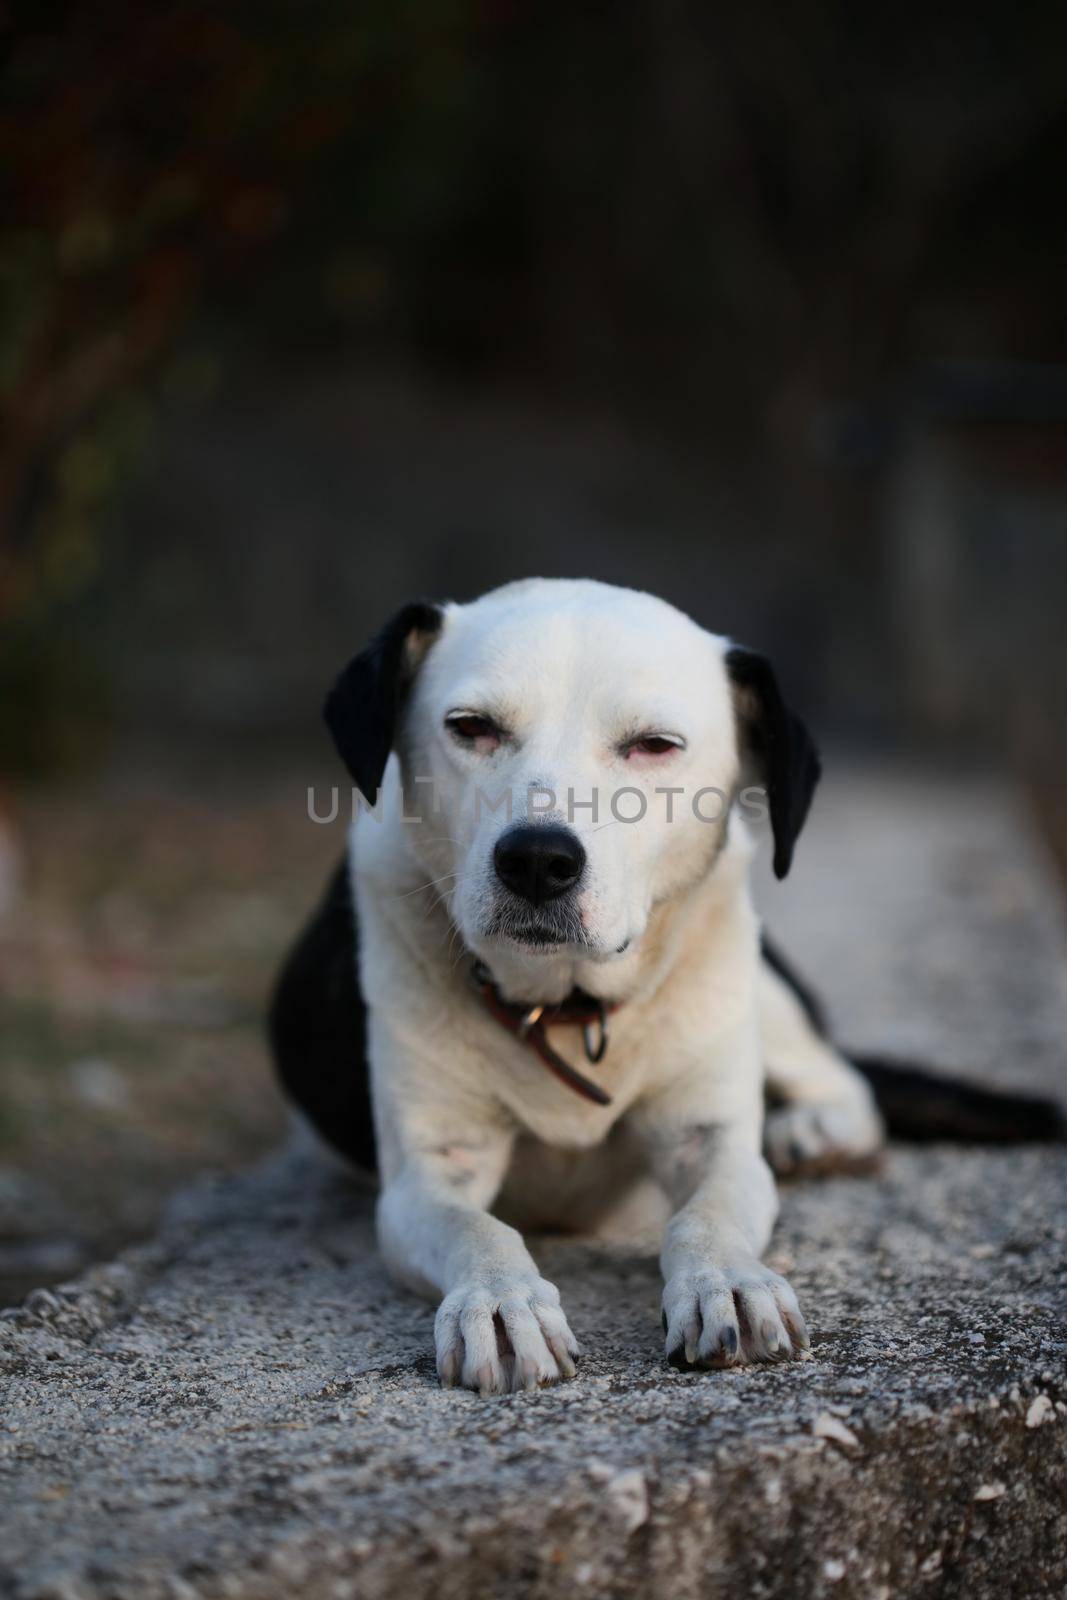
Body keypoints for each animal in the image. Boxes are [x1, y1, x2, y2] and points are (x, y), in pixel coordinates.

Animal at [271, 576, 1062, 1388]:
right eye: (471, 728)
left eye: (653, 745)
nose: (536, 860)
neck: (566, 1006)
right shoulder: (427, 1177)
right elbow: (476, 1228)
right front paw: (499, 1303)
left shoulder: (708, 1141)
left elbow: (704, 1213)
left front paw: (728, 1281)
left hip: (758, 982)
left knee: (845, 1081)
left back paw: (812, 1131)